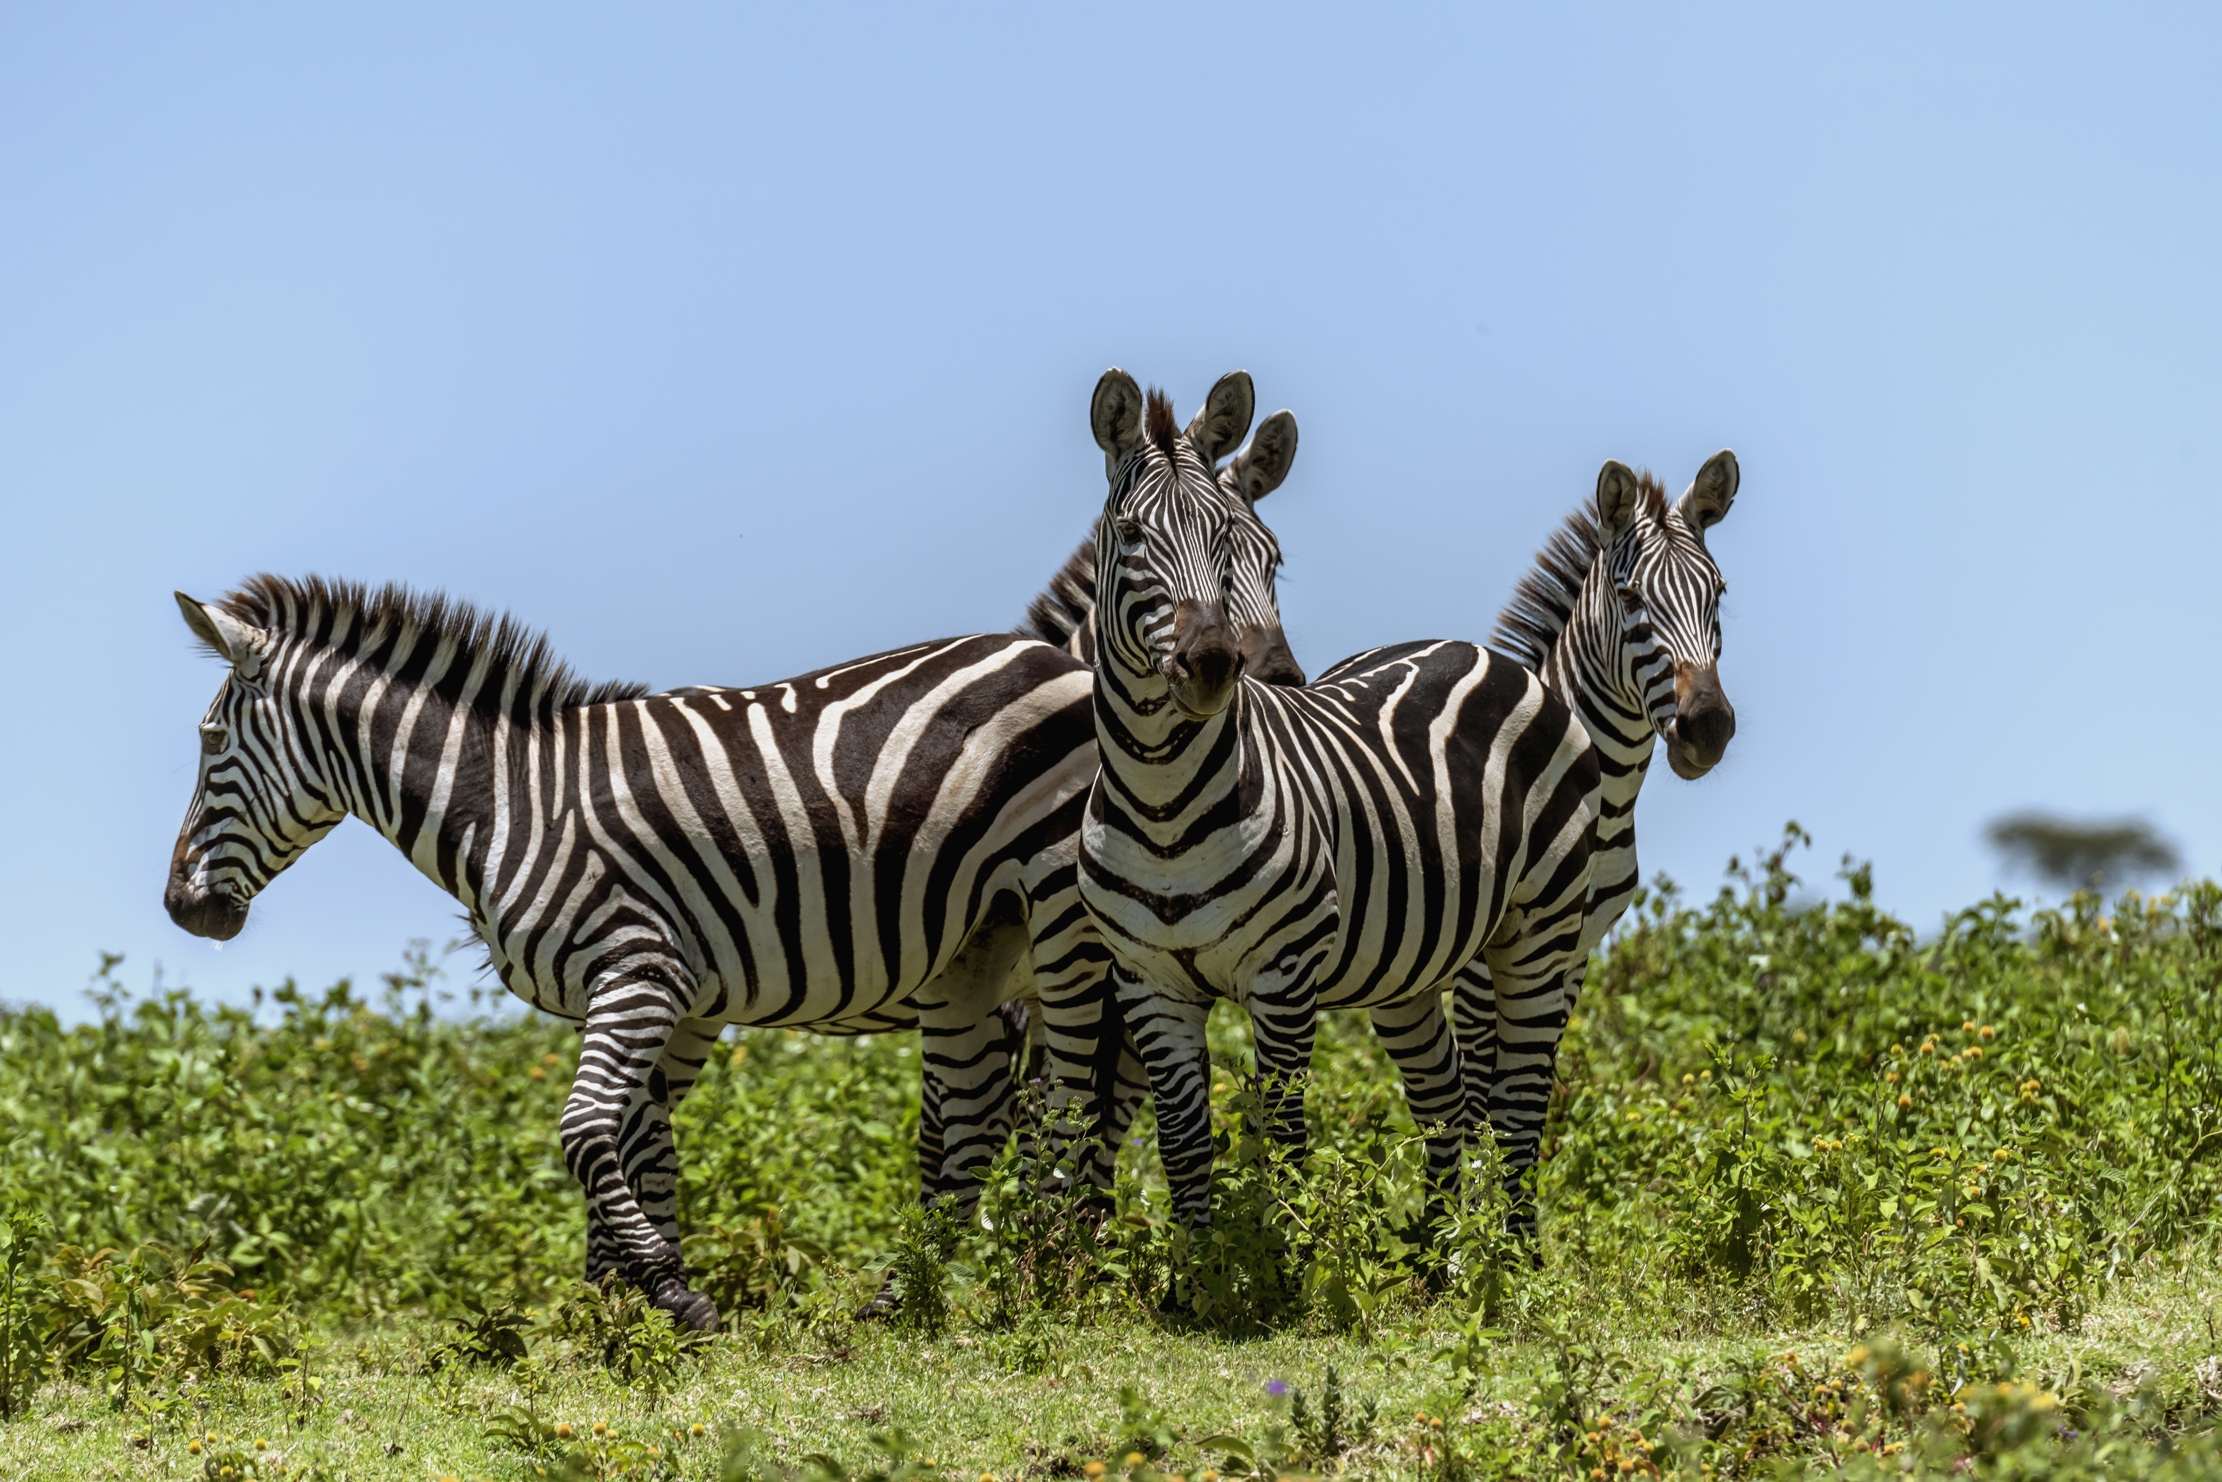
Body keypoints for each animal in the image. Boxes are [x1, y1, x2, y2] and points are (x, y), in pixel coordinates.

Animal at [161, 407, 1302, 1330]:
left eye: (210, 740)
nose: (181, 909)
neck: (513, 798)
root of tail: (1055, 660)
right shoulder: (662, 995)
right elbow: (637, 1144)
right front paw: (611, 1311)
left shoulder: (639, 971)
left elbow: (586, 1134)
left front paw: (670, 1293)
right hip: (979, 942)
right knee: (989, 1109)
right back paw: (925, 1294)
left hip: (1065, 923)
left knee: (1065, 1094)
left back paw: (1053, 1275)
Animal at [1074, 368, 1601, 1235]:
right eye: (1130, 534)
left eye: (1229, 536)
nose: (1213, 663)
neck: (1161, 805)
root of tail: (1475, 649)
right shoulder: (1149, 983)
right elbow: (1183, 1149)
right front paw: (1193, 1264)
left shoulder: (1284, 975)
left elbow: (1287, 1145)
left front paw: (1285, 1260)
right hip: (1412, 967)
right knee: (1444, 1099)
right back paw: (1434, 1253)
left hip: (1540, 928)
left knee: (1521, 1105)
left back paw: (1514, 1256)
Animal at [1451, 453, 1739, 1136]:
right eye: (1630, 597)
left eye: (1719, 592)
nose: (1709, 729)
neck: (1599, 811)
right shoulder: (1478, 965)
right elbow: (1480, 1101)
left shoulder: (1574, 955)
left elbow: (1527, 1092)